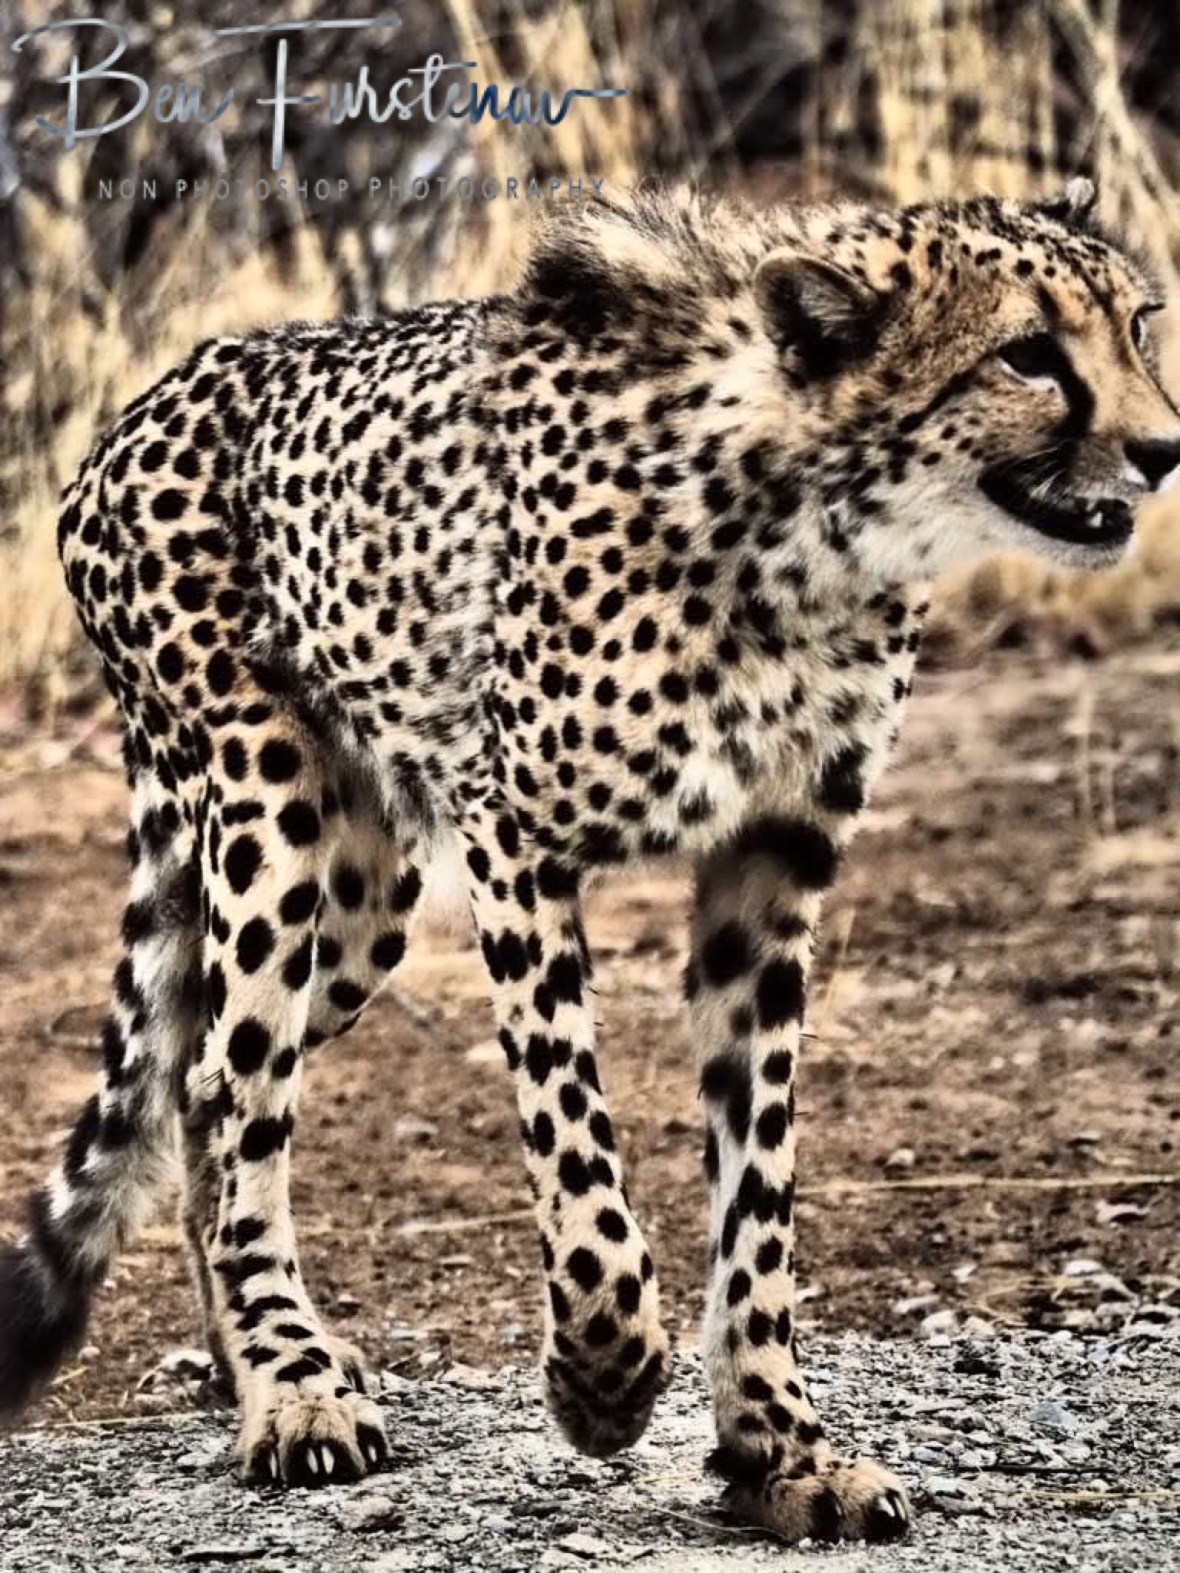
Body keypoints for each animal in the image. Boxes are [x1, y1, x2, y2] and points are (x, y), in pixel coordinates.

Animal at [2, 177, 1177, 1545]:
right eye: (1027, 353)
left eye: (1137, 326)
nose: (1163, 450)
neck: (808, 525)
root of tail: (158, 390)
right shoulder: (514, 833)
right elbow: (579, 1152)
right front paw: (604, 1383)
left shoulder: (772, 861)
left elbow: (758, 1184)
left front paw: (778, 1448)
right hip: (271, 808)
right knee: (227, 1085)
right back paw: (289, 1386)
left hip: (360, 899)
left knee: (201, 1074)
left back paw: (259, 1363)